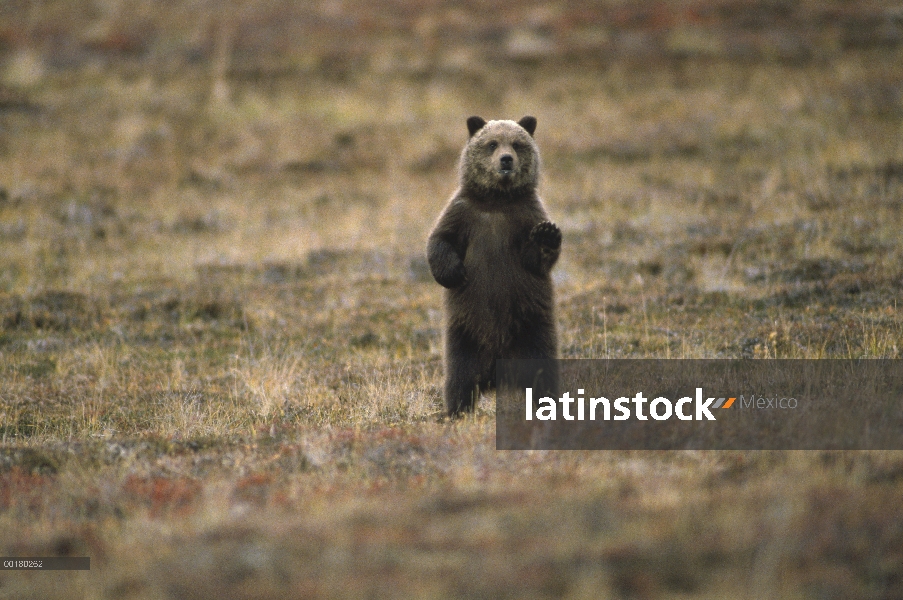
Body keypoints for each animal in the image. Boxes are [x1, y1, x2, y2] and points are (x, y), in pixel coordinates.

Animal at [428, 117, 560, 418]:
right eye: (492, 143)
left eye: (517, 143)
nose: (506, 159)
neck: (498, 200)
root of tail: (498, 375)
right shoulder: (464, 212)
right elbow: (441, 238)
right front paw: (454, 272)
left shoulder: (526, 215)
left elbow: (536, 257)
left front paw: (548, 236)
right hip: (465, 333)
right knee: (460, 377)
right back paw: (456, 411)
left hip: (531, 327)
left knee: (541, 369)